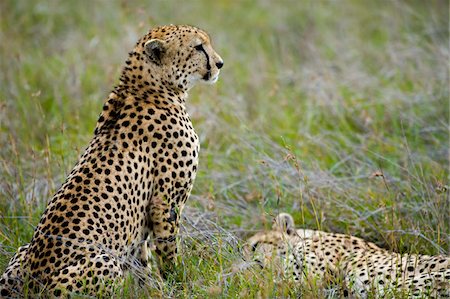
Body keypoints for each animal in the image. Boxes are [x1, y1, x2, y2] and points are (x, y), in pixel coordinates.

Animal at [0, 24, 223, 298]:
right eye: (198, 47)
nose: (220, 63)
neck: (146, 87)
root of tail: (32, 284)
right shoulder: (165, 201)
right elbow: (168, 249)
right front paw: (179, 283)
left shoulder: (140, 220)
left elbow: (141, 260)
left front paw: (151, 289)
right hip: (105, 261)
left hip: (21, 252)